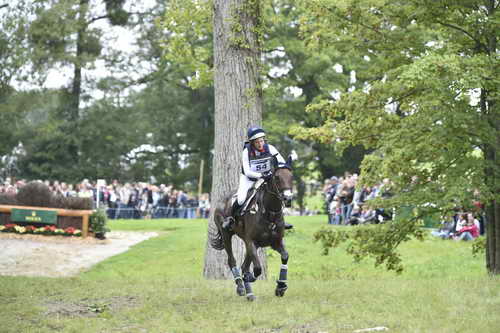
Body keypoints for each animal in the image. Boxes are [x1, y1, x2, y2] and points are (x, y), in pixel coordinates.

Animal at [208, 157, 292, 300]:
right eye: (277, 177)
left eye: (291, 177)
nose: (288, 198)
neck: (270, 213)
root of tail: (222, 201)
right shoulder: (251, 241)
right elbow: (257, 268)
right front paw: (249, 278)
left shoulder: (275, 242)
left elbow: (285, 256)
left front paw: (281, 287)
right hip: (227, 235)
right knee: (232, 261)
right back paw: (241, 287)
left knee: (244, 266)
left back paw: (250, 294)